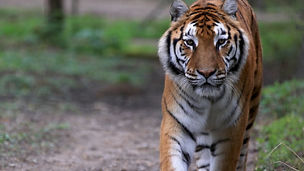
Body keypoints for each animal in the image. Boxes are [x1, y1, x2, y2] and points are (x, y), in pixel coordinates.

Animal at [158, 0, 262, 170]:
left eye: (221, 41)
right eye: (190, 42)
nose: (206, 73)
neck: (208, 99)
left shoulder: (231, 128)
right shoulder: (176, 123)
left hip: (252, 108)